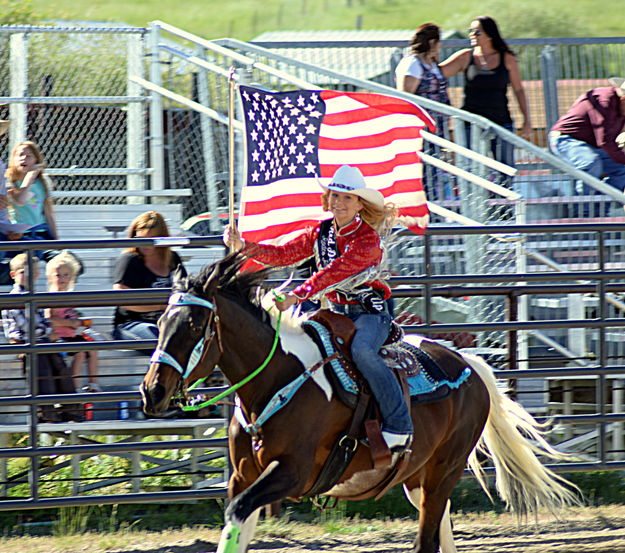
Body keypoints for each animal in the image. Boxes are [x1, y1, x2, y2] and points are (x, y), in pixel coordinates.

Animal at [140, 252, 576, 548]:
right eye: (159, 322)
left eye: (193, 325)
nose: (151, 391)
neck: (278, 378)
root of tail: (467, 362)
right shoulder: (243, 475)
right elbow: (235, 521)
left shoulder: (293, 473)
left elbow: (240, 511)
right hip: (418, 479)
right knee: (440, 528)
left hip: (444, 470)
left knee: (428, 538)